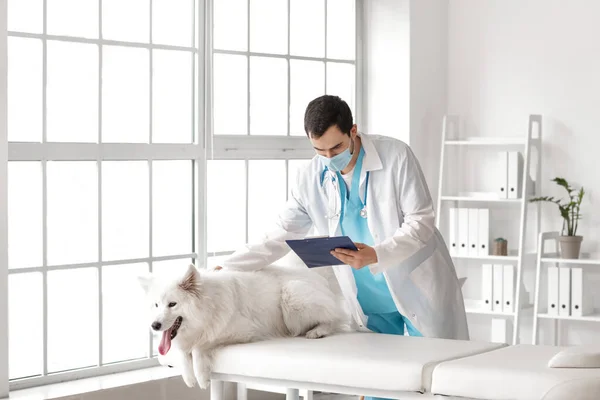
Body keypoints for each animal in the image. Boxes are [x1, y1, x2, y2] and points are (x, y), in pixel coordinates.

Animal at [137, 262, 346, 388]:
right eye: (156, 305)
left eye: (172, 304)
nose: (154, 325)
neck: (206, 308)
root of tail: (320, 278)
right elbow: (182, 352)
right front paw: (189, 378)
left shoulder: (243, 331)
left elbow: (200, 345)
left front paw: (202, 377)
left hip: (293, 294)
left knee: (336, 317)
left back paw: (318, 330)